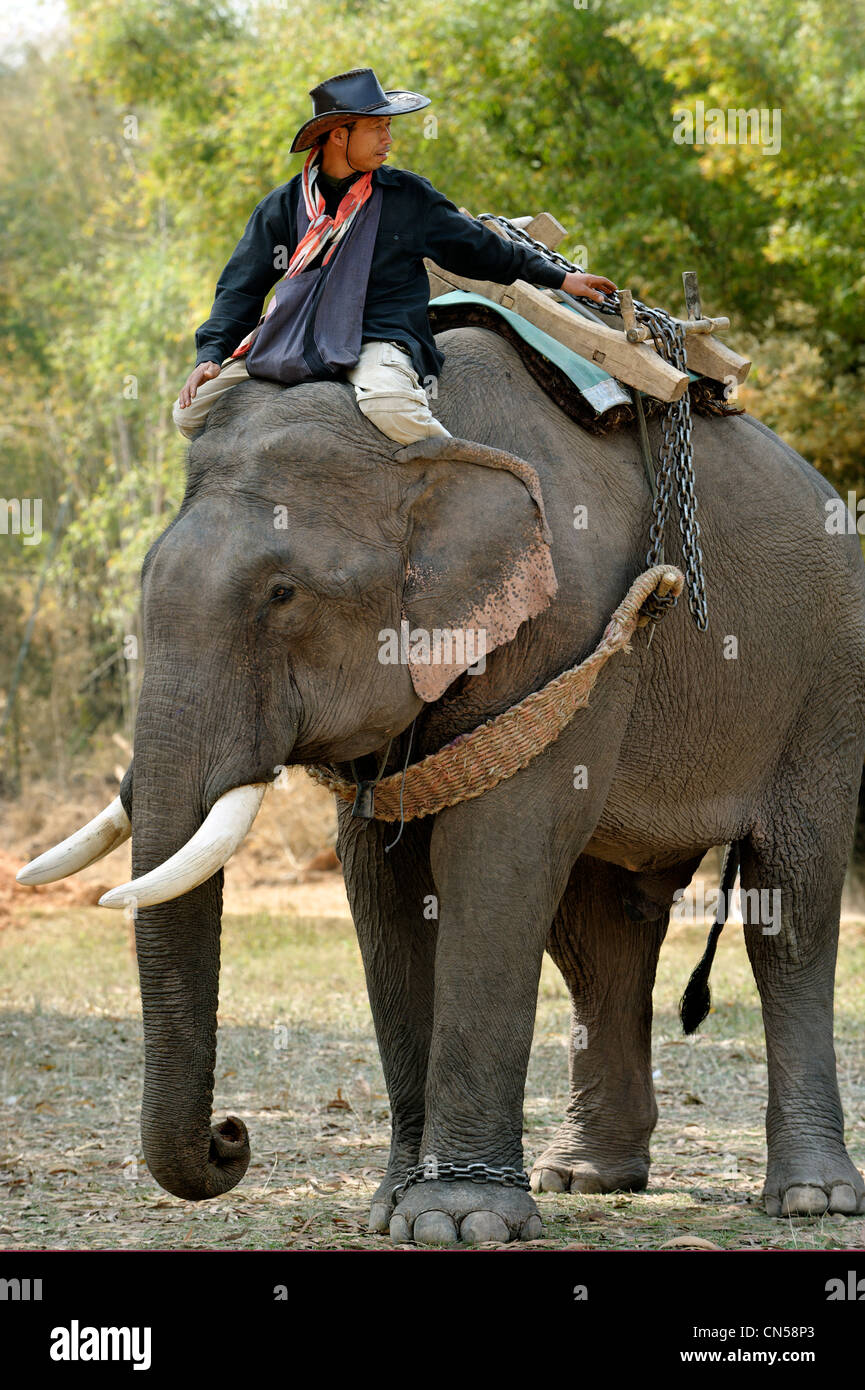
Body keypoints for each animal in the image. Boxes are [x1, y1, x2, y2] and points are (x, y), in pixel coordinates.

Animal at [18, 328, 865, 1251]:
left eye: (282, 594)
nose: (231, 1135)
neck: (424, 443)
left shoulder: (567, 625)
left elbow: (494, 856)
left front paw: (460, 1219)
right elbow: (383, 881)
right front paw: (395, 1208)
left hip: (824, 686)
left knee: (788, 910)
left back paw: (810, 1198)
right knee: (599, 935)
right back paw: (585, 1177)